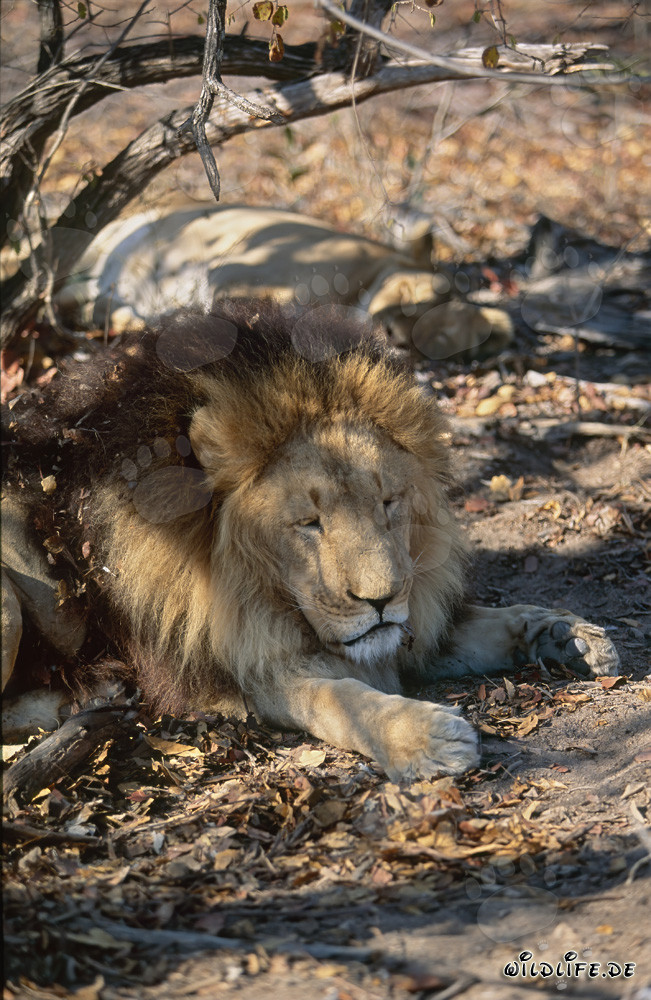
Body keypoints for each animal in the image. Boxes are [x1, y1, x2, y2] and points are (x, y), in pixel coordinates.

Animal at [1, 303, 619, 780]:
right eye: (309, 523)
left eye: (388, 503)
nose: (381, 600)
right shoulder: (249, 670)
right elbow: (340, 699)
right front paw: (424, 740)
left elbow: (485, 622)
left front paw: (565, 634)